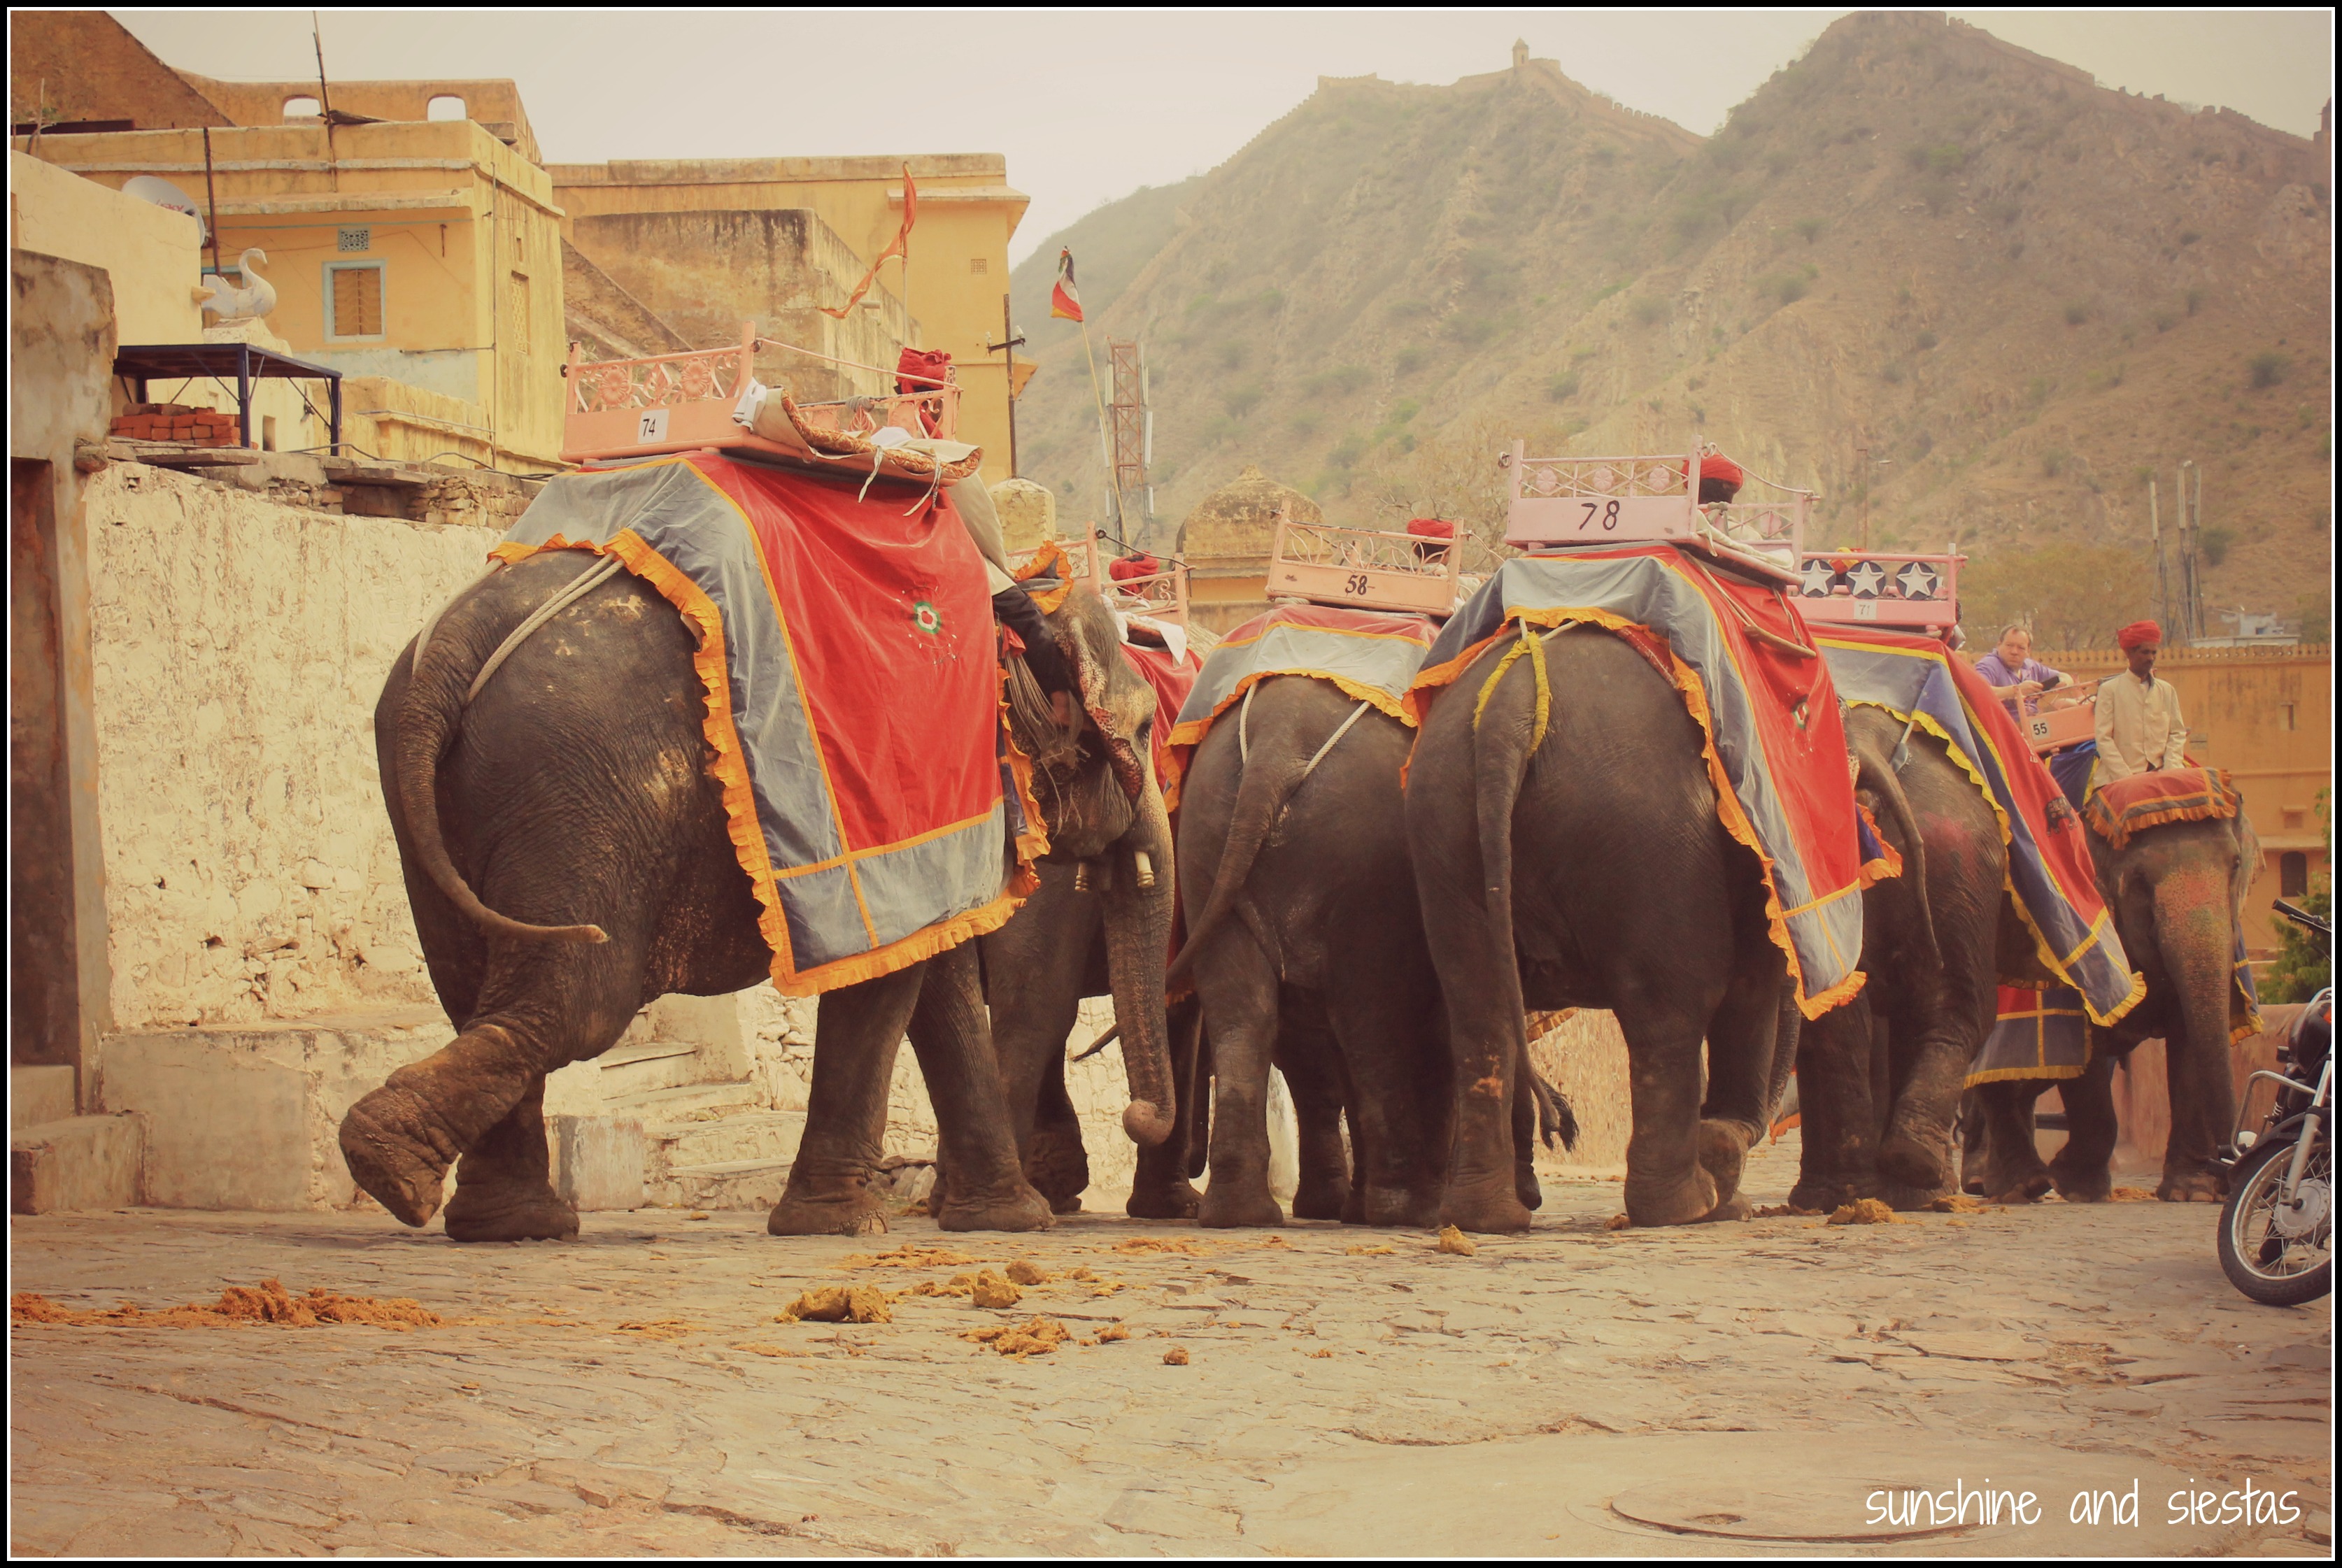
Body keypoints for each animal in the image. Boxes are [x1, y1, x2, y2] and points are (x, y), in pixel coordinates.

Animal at [337, 549, 1178, 1242]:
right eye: (1142, 730)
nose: (1139, 1116)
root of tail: (456, 644)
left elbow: (936, 978)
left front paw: (1006, 1220)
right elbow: (895, 975)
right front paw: (843, 1224)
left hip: (441, 792)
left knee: (470, 989)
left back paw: (502, 1220)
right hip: (574, 787)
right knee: (580, 1002)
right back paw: (392, 1163)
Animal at [1406, 626, 1799, 1233]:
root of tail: (1509, 713)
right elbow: (1751, 986)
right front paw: (1727, 1179)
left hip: (1444, 822)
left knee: (1478, 1007)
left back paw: (1489, 1218)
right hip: (1648, 836)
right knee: (1670, 1009)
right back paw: (1686, 1207)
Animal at [1969, 809, 2260, 1205]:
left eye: (2235, 864)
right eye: (2138, 880)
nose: (2232, 1163)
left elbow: (2188, 1042)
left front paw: (2192, 1192)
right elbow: (2086, 1056)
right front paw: (2076, 1186)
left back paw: (2004, 1185)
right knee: (1994, 1083)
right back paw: (2018, 1186)